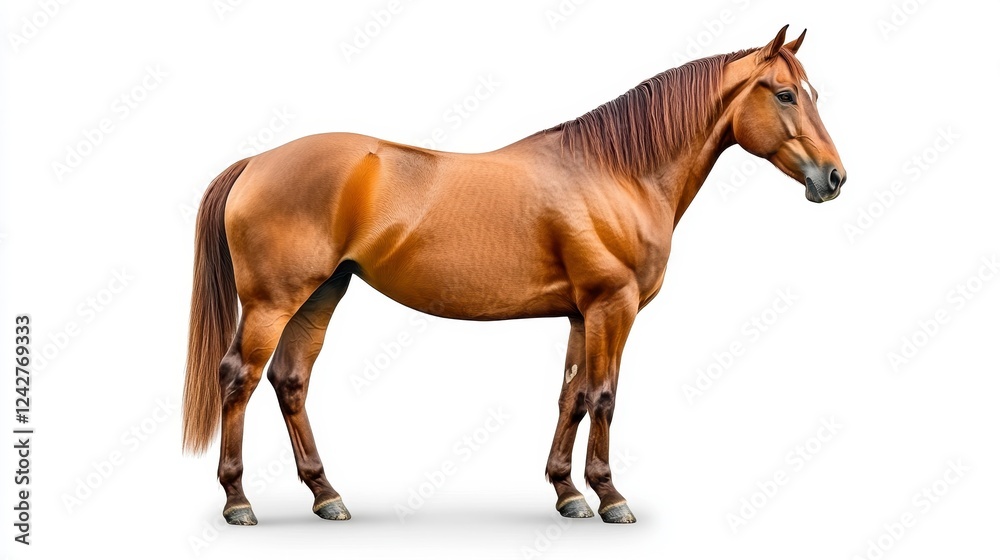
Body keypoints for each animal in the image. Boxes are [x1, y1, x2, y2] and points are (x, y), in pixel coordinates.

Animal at [182, 25, 845, 526]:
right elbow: (604, 397)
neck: (617, 172)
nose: (834, 177)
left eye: (811, 91)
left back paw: (327, 496)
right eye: (785, 94)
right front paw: (611, 497)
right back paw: (239, 501)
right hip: (272, 303)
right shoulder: (613, 306)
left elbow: (572, 397)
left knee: (290, 381)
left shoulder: (581, 313)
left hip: (321, 294)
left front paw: (568, 493)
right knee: (239, 377)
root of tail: (257, 162)